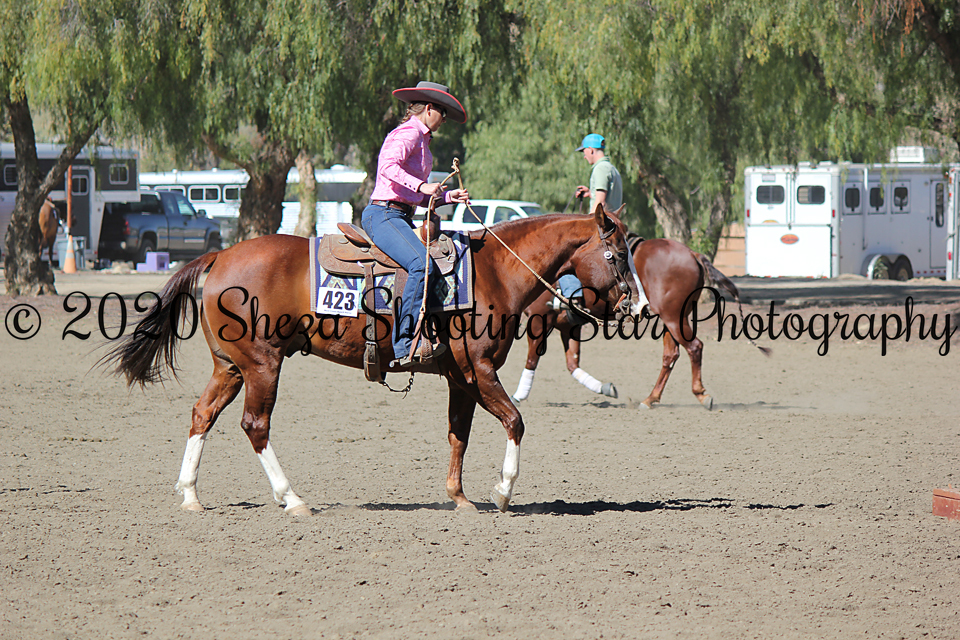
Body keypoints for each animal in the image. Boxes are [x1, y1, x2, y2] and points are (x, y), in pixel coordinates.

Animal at [103, 205, 638, 515]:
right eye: (614, 255)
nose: (635, 305)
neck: (493, 271)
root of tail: (218, 257)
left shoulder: (459, 378)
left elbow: (458, 435)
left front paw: (459, 498)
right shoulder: (480, 370)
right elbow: (515, 420)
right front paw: (503, 492)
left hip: (230, 367)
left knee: (202, 415)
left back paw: (191, 495)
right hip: (262, 364)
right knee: (255, 425)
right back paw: (292, 499)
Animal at [512, 238, 768, 410]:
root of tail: (692, 254)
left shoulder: (539, 320)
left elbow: (533, 359)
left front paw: (519, 395)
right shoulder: (568, 326)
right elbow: (572, 364)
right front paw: (605, 387)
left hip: (673, 317)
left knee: (694, 347)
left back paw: (701, 395)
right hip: (672, 319)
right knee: (671, 355)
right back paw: (650, 399)